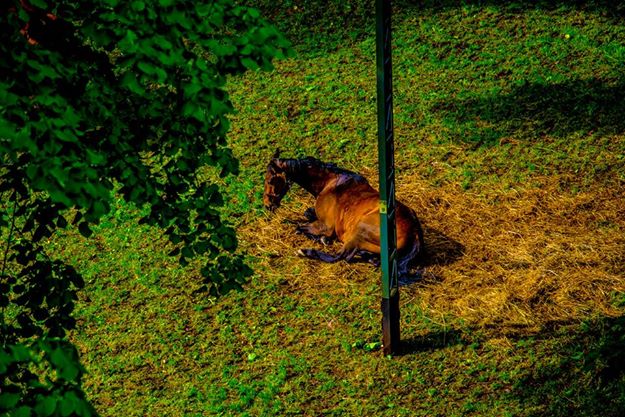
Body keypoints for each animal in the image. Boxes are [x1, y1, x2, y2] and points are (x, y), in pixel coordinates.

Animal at [264, 151, 424, 278]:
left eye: (271, 180)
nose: (267, 205)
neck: (329, 182)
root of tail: (414, 231)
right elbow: (306, 214)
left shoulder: (326, 226)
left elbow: (299, 227)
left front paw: (322, 239)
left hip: (359, 232)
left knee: (341, 256)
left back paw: (306, 252)